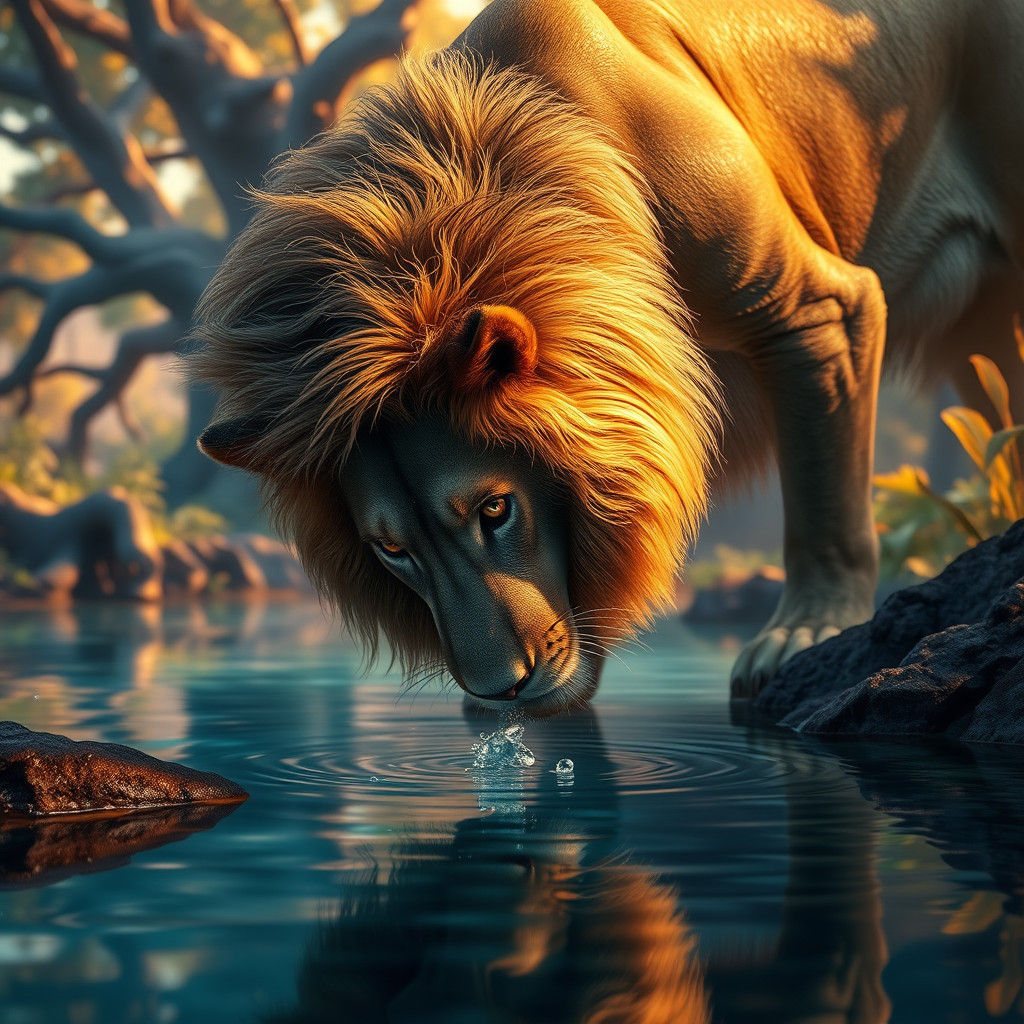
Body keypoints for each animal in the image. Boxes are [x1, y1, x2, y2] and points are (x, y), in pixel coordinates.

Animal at [193, 0, 1024, 705]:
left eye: (495, 509)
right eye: (390, 550)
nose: (500, 692)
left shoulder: (816, 309)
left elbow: (826, 502)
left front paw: (806, 631)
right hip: (982, 338)